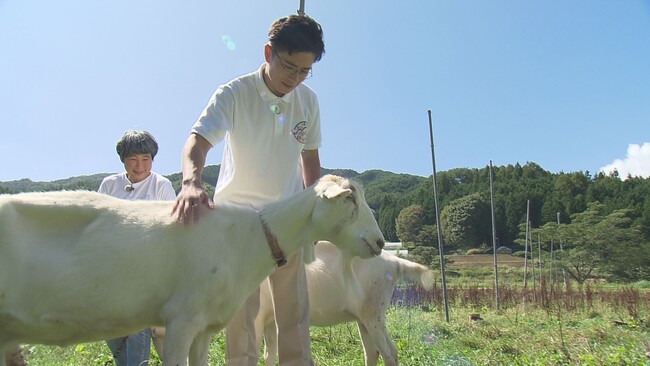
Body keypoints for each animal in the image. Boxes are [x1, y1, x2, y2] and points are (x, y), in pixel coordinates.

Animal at [253, 240, 430, 366]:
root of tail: (394, 261)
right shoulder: (269, 320)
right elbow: (269, 355)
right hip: (367, 318)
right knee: (373, 352)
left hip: (373, 313)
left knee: (389, 354)